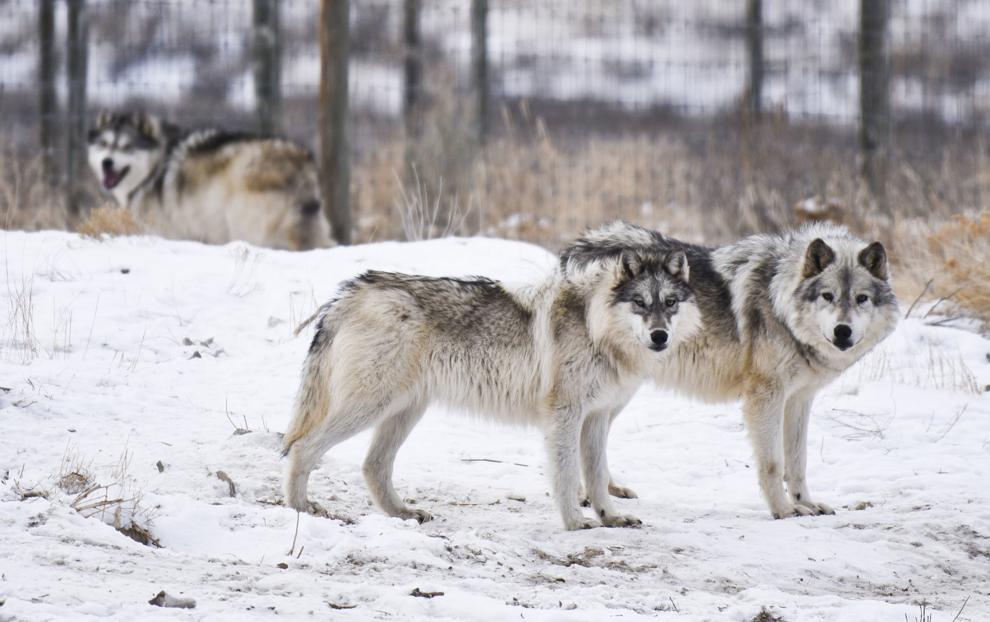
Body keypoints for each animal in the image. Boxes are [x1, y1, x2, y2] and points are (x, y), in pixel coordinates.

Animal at [87, 110, 331, 250]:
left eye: (127, 147)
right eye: (104, 145)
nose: (107, 162)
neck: (154, 169)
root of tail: (301, 159)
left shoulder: (168, 231)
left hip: (248, 227)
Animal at [283, 248, 700, 530]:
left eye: (670, 303)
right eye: (640, 303)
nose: (659, 336)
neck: (595, 325)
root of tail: (352, 290)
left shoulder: (597, 418)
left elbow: (597, 476)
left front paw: (610, 518)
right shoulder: (564, 416)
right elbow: (567, 476)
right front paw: (575, 522)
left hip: (404, 410)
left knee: (373, 466)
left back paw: (403, 512)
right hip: (372, 405)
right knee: (304, 447)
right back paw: (301, 507)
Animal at [560, 222, 899, 519]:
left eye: (861, 299)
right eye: (828, 296)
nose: (843, 331)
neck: (778, 302)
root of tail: (578, 247)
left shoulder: (800, 399)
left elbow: (798, 462)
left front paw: (807, 503)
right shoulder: (765, 397)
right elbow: (774, 463)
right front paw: (784, 510)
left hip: (619, 391)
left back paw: (607, 490)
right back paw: (580, 495)